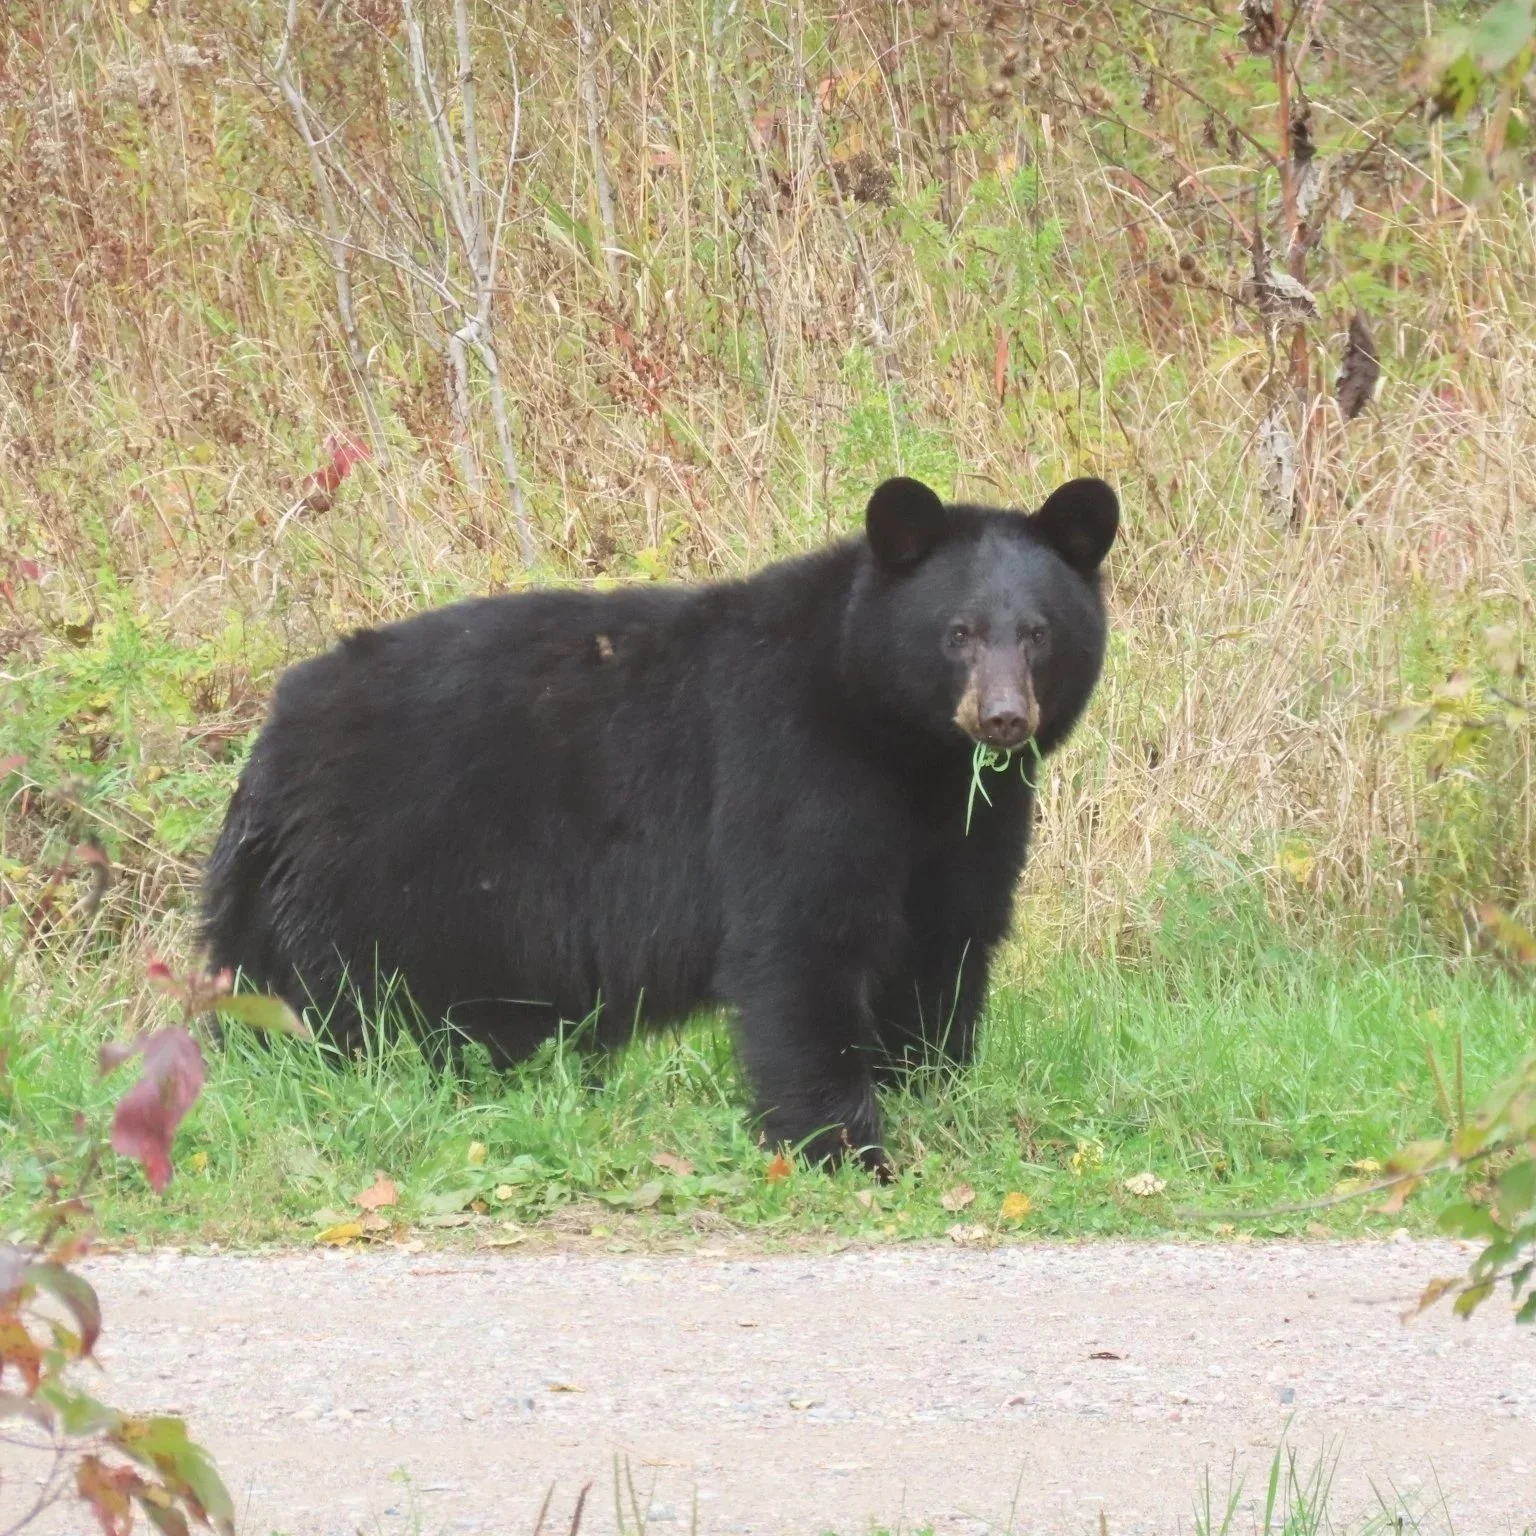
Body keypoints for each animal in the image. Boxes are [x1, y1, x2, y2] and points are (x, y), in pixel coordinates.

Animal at [200, 474, 1118, 1170]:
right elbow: (802, 942)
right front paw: (843, 1146)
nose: (1003, 718)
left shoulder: (971, 822)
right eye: (957, 632)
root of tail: (273, 739)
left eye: (1038, 633)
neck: (904, 748)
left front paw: (926, 1086)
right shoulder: (790, 765)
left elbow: (947, 942)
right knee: (344, 1004)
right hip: (381, 869)